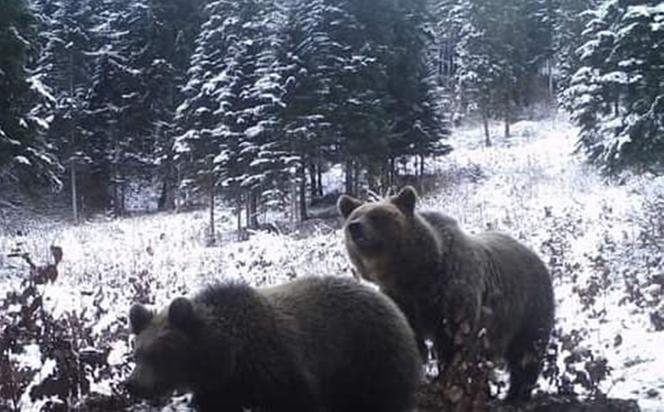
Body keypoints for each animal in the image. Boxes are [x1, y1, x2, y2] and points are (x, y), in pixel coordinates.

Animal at [124, 274, 420, 412]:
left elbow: (297, 400)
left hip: (368, 357)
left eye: (160, 353)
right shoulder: (219, 390)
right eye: (137, 353)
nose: (133, 384)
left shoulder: (278, 370)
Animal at [338, 185, 556, 400]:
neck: (414, 274)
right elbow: (408, 333)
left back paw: (517, 392)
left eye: (377, 215)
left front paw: (446, 378)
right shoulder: (400, 298)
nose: (355, 227)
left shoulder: (452, 289)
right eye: (355, 216)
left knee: (527, 351)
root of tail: (533, 253)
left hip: (529, 305)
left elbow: (456, 335)